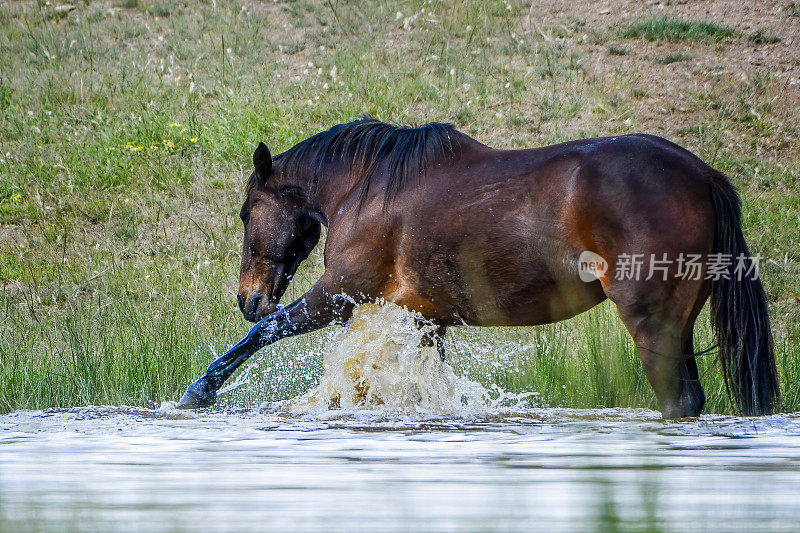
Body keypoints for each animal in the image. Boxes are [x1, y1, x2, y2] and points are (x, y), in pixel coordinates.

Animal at [177, 117, 780, 420]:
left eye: (246, 212)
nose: (247, 297)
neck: (366, 187)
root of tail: (703, 174)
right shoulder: (424, 316)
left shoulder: (338, 294)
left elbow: (261, 334)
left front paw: (197, 393)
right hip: (678, 321)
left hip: (652, 320)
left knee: (677, 400)